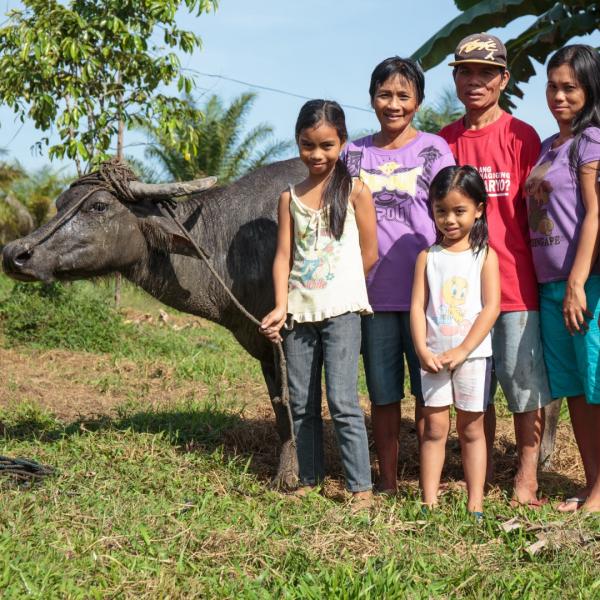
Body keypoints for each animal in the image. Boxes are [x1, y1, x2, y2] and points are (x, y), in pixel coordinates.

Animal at [2, 158, 308, 488]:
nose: (14, 254)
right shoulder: (263, 343)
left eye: (98, 206)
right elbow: (281, 408)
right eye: (60, 204)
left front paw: (289, 475)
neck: (229, 246)